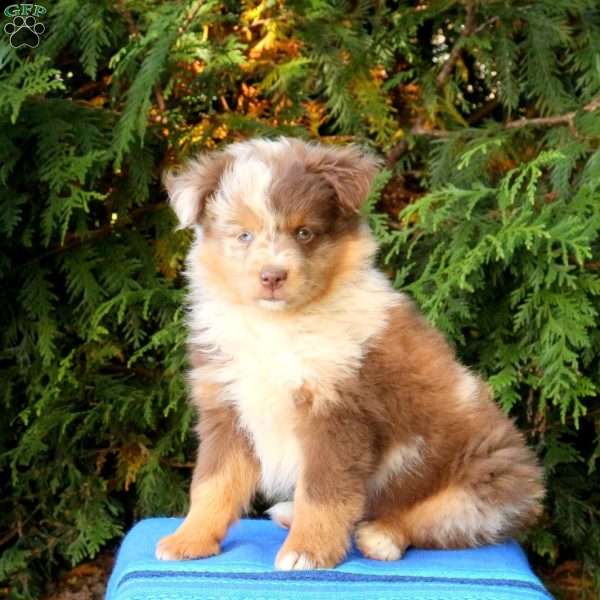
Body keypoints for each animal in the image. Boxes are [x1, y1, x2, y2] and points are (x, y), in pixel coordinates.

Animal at [155, 137, 544, 572]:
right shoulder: (227, 409)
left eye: (304, 232)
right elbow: (211, 484)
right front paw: (188, 540)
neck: (279, 324)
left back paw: (380, 537)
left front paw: (307, 551)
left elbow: (323, 492)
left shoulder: (338, 412)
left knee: (440, 520)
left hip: (488, 479)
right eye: (243, 236)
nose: (272, 276)